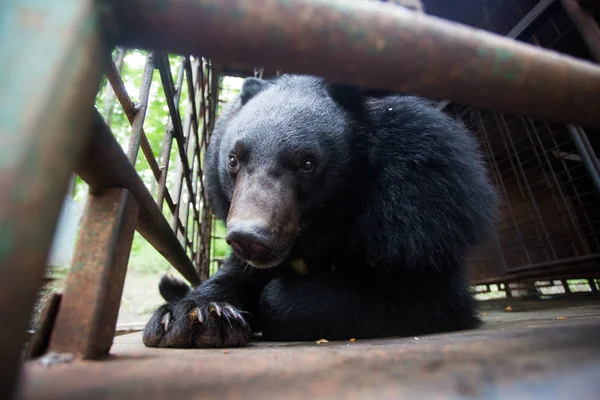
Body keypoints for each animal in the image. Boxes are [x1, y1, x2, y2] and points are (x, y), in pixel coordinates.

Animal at [143, 74, 500, 346]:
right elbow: (234, 275)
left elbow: (417, 291)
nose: (248, 239)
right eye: (233, 159)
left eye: (307, 163)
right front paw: (195, 317)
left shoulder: (421, 206)